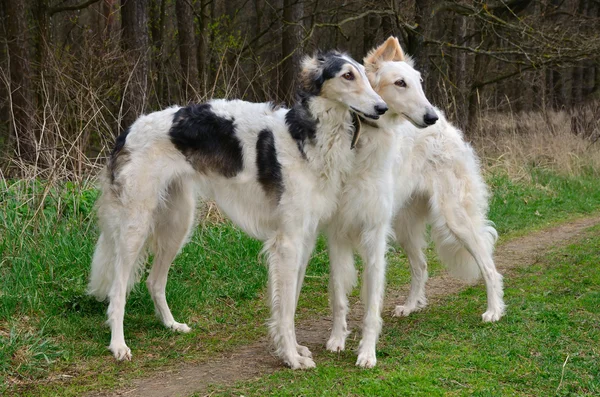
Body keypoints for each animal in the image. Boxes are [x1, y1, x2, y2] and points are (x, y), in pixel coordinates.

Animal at [88, 50, 390, 368]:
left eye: (365, 75)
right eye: (348, 75)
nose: (382, 108)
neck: (306, 137)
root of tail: (127, 131)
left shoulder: (304, 238)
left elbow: (290, 301)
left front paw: (295, 349)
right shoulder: (288, 241)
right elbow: (285, 310)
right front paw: (291, 357)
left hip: (178, 223)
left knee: (154, 281)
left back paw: (171, 325)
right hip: (135, 225)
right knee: (118, 290)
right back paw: (118, 345)